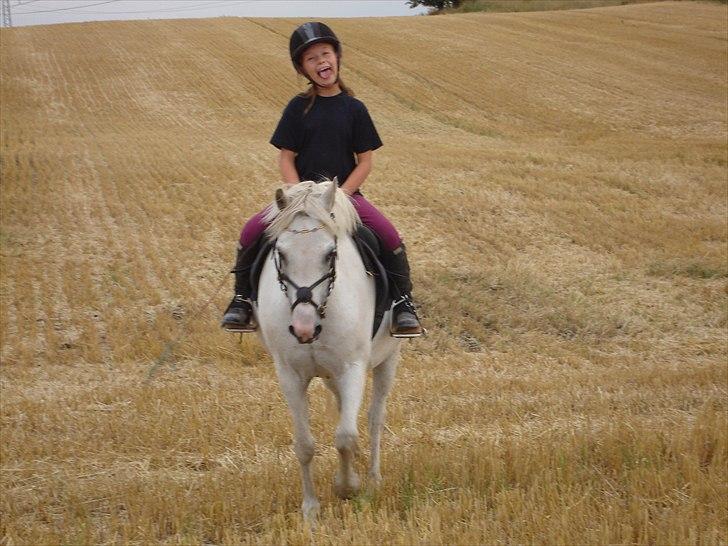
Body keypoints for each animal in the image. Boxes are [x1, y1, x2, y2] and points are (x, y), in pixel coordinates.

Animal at [254, 180, 401, 521]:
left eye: (330, 254)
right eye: (280, 253)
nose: (303, 328)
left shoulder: (352, 368)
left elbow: (345, 437)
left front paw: (347, 487)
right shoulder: (290, 375)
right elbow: (304, 445)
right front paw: (310, 509)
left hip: (387, 359)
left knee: (374, 418)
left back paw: (373, 478)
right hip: (330, 376)